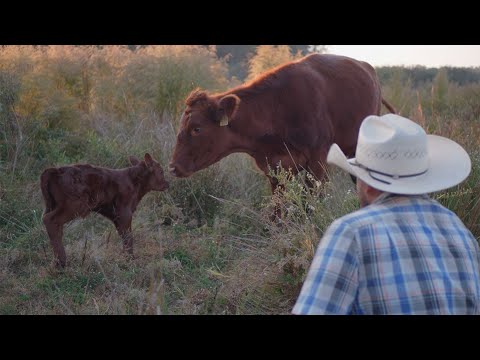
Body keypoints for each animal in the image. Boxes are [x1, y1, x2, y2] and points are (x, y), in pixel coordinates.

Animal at [40, 152, 170, 268]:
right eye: (161, 171)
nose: (167, 184)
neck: (134, 181)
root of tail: (55, 170)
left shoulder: (116, 216)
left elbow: (123, 234)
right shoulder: (124, 212)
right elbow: (128, 236)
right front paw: (130, 258)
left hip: (52, 205)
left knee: (56, 225)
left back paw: (56, 262)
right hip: (74, 205)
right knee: (50, 219)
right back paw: (61, 262)